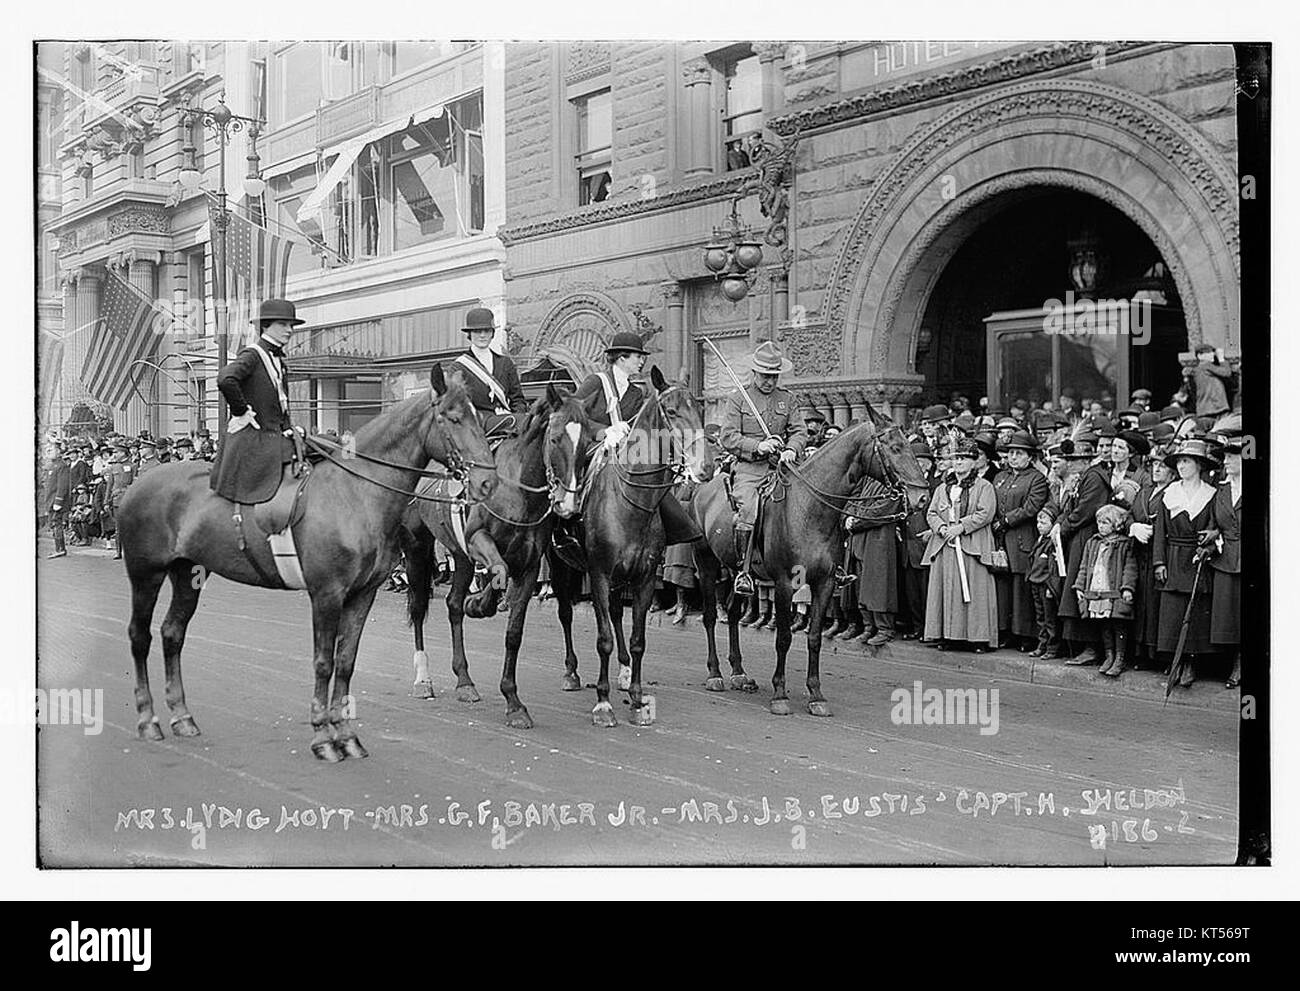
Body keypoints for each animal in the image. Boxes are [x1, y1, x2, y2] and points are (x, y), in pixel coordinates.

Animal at [115, 369, 496, 754]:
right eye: (453, 418)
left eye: (479, 417)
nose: (487, 481)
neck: (355, 493)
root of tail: (137, 484)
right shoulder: (326, 595)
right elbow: (324, 663)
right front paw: (323, 736)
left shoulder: (362, 595)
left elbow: (345, 662)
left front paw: (346, 735)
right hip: (146, 575)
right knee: (139, 636)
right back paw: (148, 720)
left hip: (188, 574)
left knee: (172, 633)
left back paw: (182, 717)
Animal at [397, 384, 595, 728]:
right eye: (555, 438)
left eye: (586, 442)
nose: (567, 504)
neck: (516, 491)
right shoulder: (478, 539)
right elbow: (498, 568)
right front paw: (482, 602)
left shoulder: (530, 565)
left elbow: (513, 631)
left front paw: (514, 702)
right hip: (417, 548)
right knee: (420, 606)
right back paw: (423, 679)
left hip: (459, 556)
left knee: (453, 606)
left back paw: (465, 680)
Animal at [546, 366, 712, 723]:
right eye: (672, 411)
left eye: (699, 408)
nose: (705, 468)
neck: (632, 500)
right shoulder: (598, 575)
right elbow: (603, 638)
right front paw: (603, 703)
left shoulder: (645, 578)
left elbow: (637, 639)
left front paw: (636, 698)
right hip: (560, 565)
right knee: (566, 613)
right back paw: (571, 672)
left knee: (615, 614)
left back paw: (622, 673)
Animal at [686, 397, 930, 712]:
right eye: (894, 447)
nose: (922, 497)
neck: (811, 509)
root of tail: (703, 487)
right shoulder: (784, 583)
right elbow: (784, 637)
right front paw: (779, 694)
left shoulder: (825, 583)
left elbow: (814, 637)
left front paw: (816, 694)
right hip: (705, 563)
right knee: (709, 616)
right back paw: (715, 674)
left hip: (741, 572)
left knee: (732, 610)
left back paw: (739, 673)